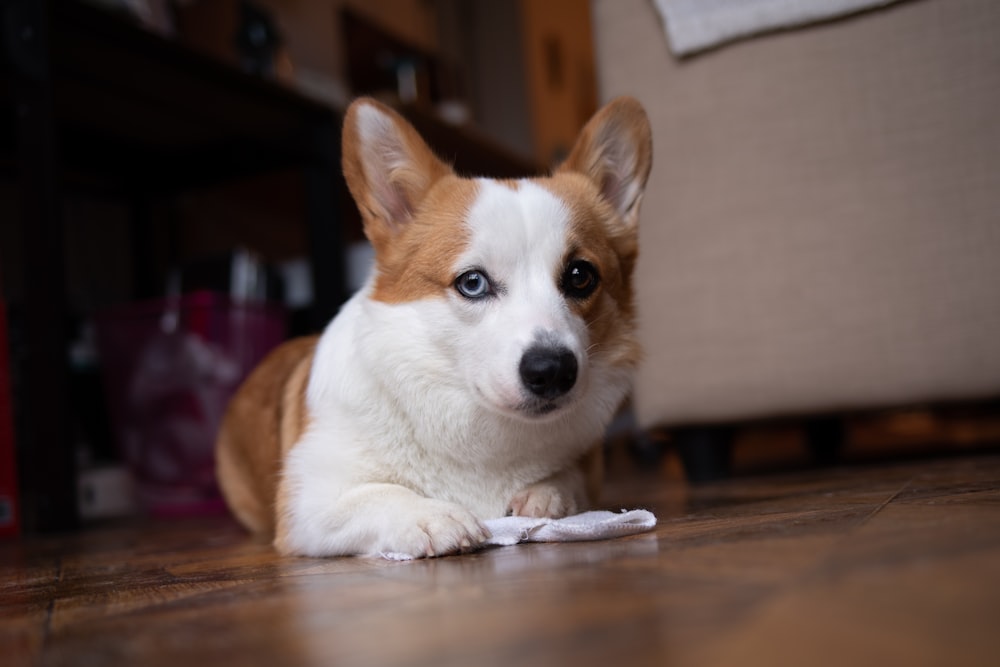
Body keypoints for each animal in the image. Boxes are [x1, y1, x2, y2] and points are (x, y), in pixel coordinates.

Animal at [216, 95, 652, 560]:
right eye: (472, 283)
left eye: (580, 276)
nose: (552, 370)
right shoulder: (307, 505)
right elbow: (379, 493)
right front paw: (431, 516)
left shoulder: (586, 471)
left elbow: (569, 482)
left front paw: (548, 494)